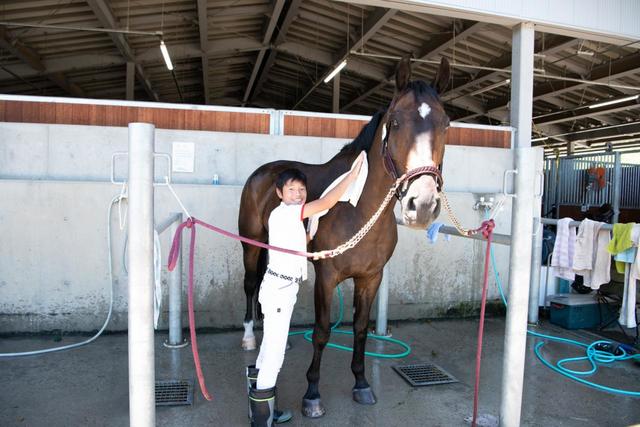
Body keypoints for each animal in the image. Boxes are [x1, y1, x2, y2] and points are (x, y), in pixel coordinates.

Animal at [238, 56, 451, 417]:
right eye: (395, 122)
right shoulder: (326, 277)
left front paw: (362, 384)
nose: (421, 204)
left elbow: (361, 329)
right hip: (249, 246)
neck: (359, 210)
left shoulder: (371, 278)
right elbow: (322, 332)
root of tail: (264, 172)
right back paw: (251, 337)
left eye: (446, 124)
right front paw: (312, 394)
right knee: (252, 284)